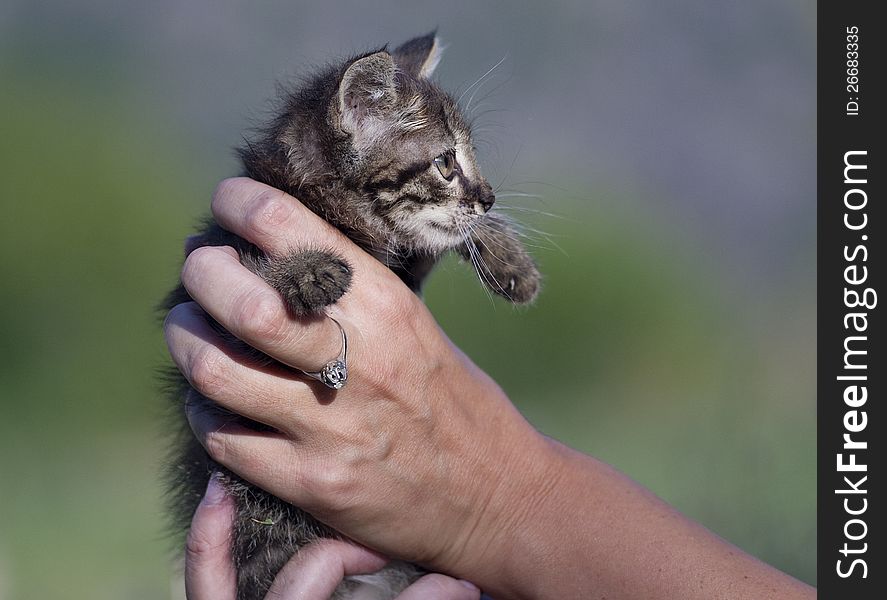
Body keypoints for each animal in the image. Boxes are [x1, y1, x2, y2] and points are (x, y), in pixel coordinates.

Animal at [166, 34, 540, 600]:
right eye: (445, 162)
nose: (489, 196)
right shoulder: (210, 286)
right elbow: (251, 266)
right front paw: (305, 270)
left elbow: (444, 238)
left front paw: (507, 258)